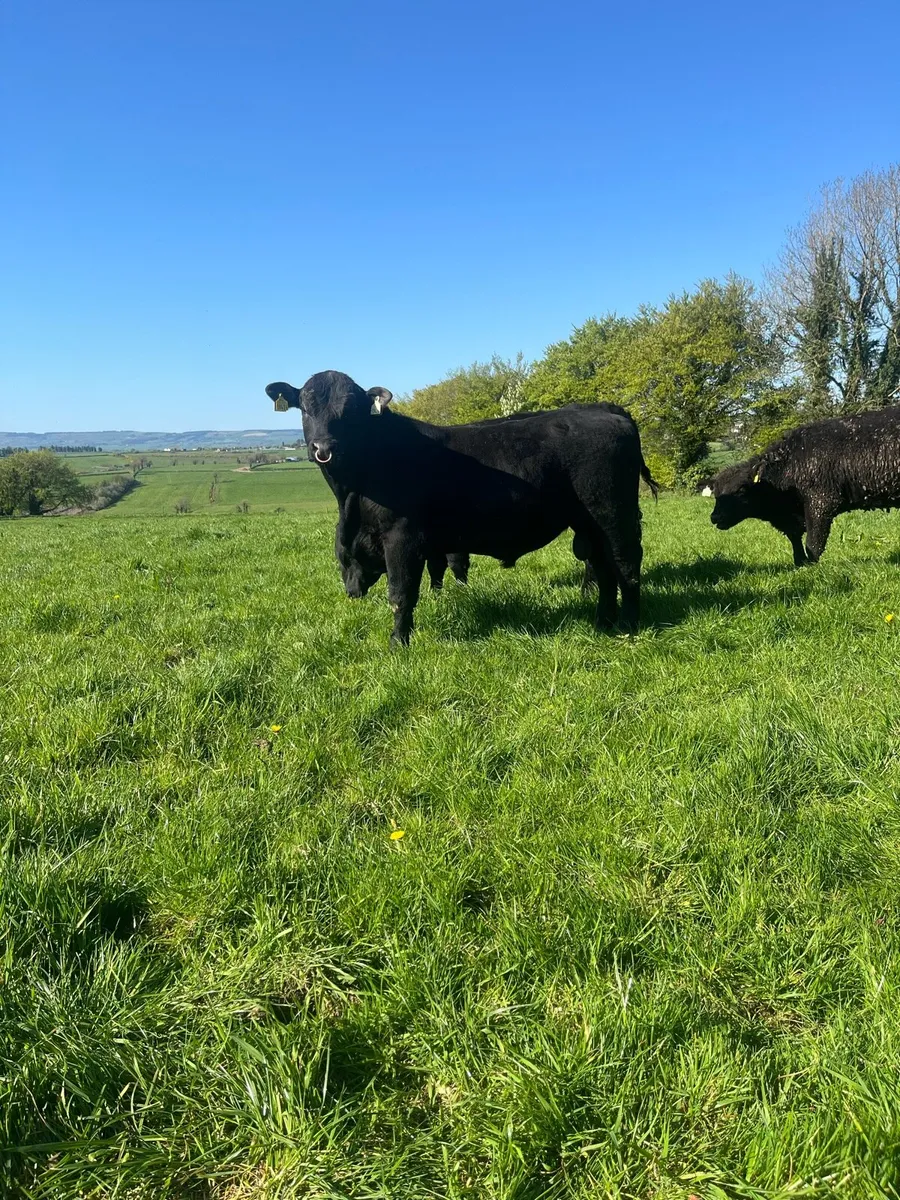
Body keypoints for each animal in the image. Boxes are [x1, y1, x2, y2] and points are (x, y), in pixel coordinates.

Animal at [266, 371, 658, 644]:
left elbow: (401, 593)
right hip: (589, 523)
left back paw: (628, 625)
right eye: (306, 407)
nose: (324, 446)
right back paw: (602, 623)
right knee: (603, 568)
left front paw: (398, 643)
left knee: (625, 564)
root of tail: (609, 413)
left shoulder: (402, 538)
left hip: (613, 513)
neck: (351, 496)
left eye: (351, 411)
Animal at [706, 405, 900, 564]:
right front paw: (799, 563)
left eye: (741, 490)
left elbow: (813, 542)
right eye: (715, 492)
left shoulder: (822, 503)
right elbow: (795, 538)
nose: (715, 517)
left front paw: (812, 566)